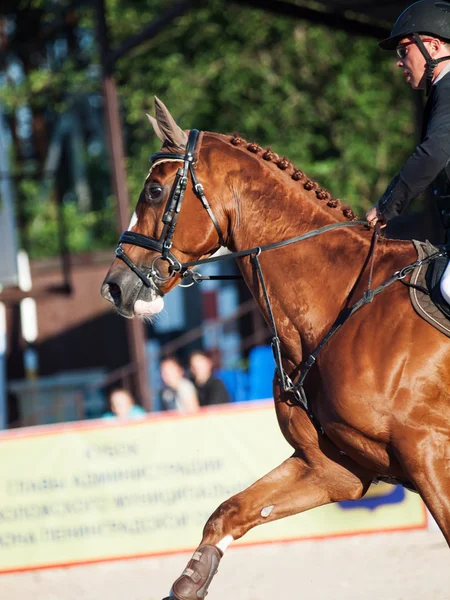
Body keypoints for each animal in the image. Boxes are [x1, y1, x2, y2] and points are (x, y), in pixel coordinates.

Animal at [101, 96, 450, 596]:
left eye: (153, 191)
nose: (114, 287)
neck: (340, 303)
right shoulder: (333, 467)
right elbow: (228, 512)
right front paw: (190, 581)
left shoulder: (429, 453)